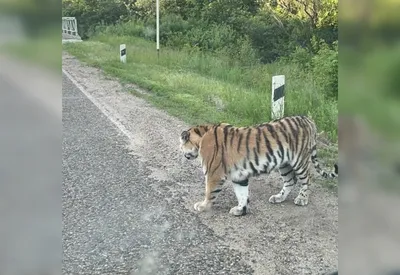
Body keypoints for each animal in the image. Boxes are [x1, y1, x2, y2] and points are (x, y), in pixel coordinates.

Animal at [179, 115, 338, 217]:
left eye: (182, 145)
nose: (183, 154)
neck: (201, 136)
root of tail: (308, 119)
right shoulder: (239, 176)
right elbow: (242, 194)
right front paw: (241, 210)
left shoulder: (214, 174)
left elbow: (209, 192)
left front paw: (202, 206)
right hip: (284, 164)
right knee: (290, 181)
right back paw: (278, 198)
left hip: (299, 160)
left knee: (307, 179)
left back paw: (302, 199)